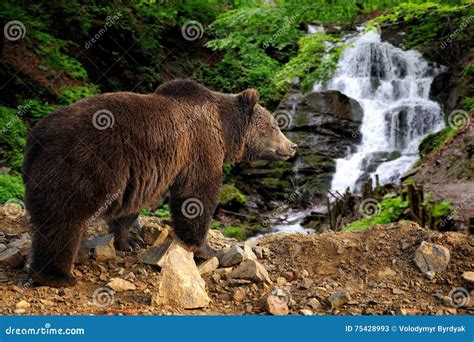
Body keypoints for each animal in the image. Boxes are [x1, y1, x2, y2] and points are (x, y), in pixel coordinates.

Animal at [23, 79, 296, 288]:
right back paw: (56, 275)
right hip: (83, 164)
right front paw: (208, 250)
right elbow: (196, 195)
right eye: (275, 125)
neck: (224, 130)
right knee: (64, 219)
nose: (292, 146)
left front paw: (129, 239)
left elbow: (133, 204)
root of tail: (38, 135)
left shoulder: (144, 171)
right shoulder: (198, 148)